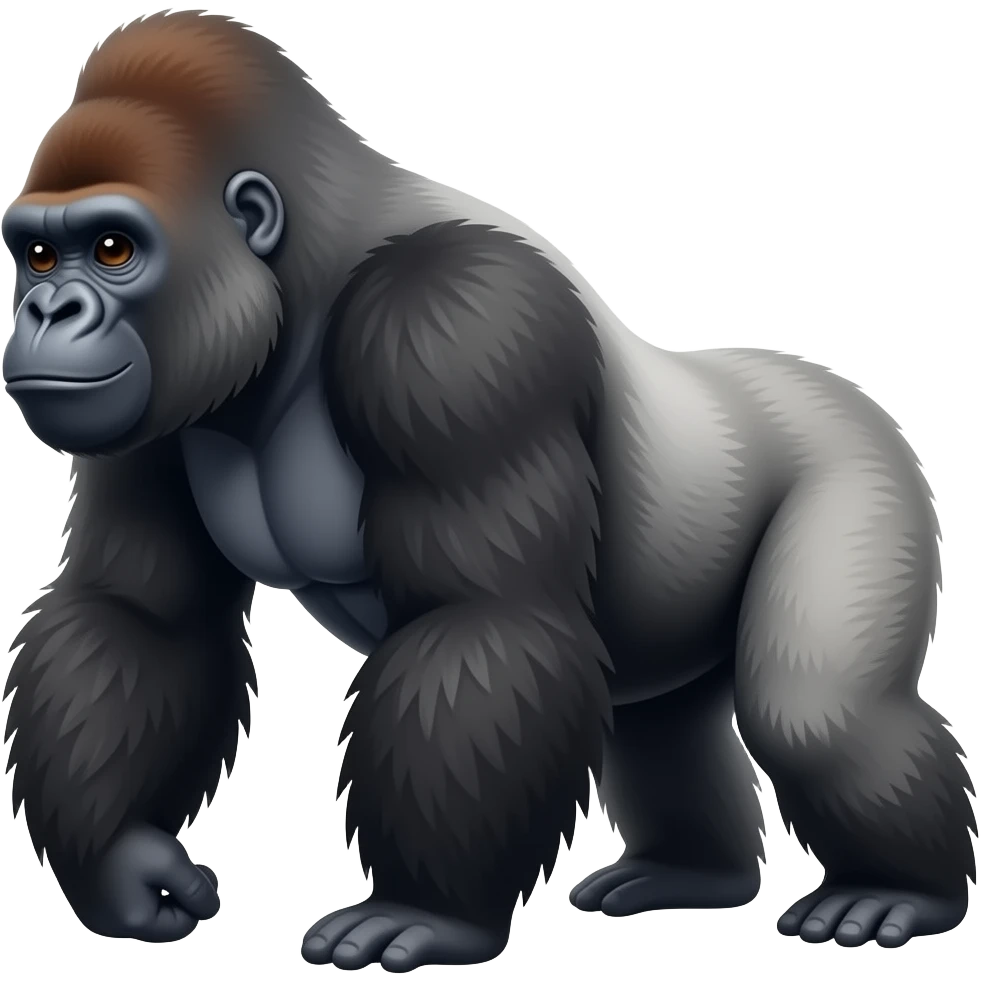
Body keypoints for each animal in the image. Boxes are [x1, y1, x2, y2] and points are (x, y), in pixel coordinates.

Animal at [0, 10, 973, 970]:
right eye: (39, 255)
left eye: (115, 247)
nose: (46, 312)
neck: (304, 279)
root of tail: (832, 384)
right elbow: (141, 612)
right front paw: (122, 862)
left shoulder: (452, 326)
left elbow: (479, 622)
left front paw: (430, 911)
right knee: (663, 723)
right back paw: (690, 872)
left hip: (860, 462)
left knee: (814, 713)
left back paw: (900, 890)